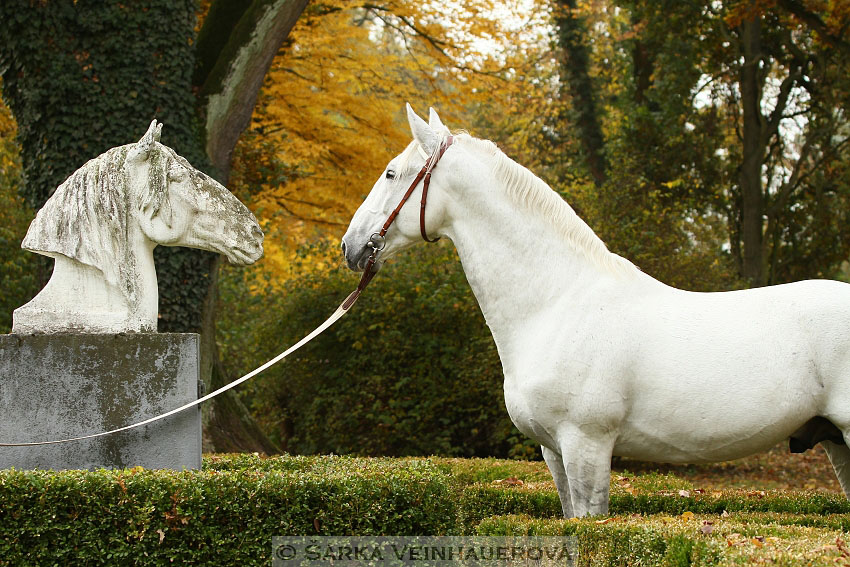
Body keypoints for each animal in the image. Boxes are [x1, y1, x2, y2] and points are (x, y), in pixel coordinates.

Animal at [340, 105, 850, 520]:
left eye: (391, 173)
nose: (350, 246)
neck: (556, 304)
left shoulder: (586, 444)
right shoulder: (554, 451)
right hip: (837, 444)